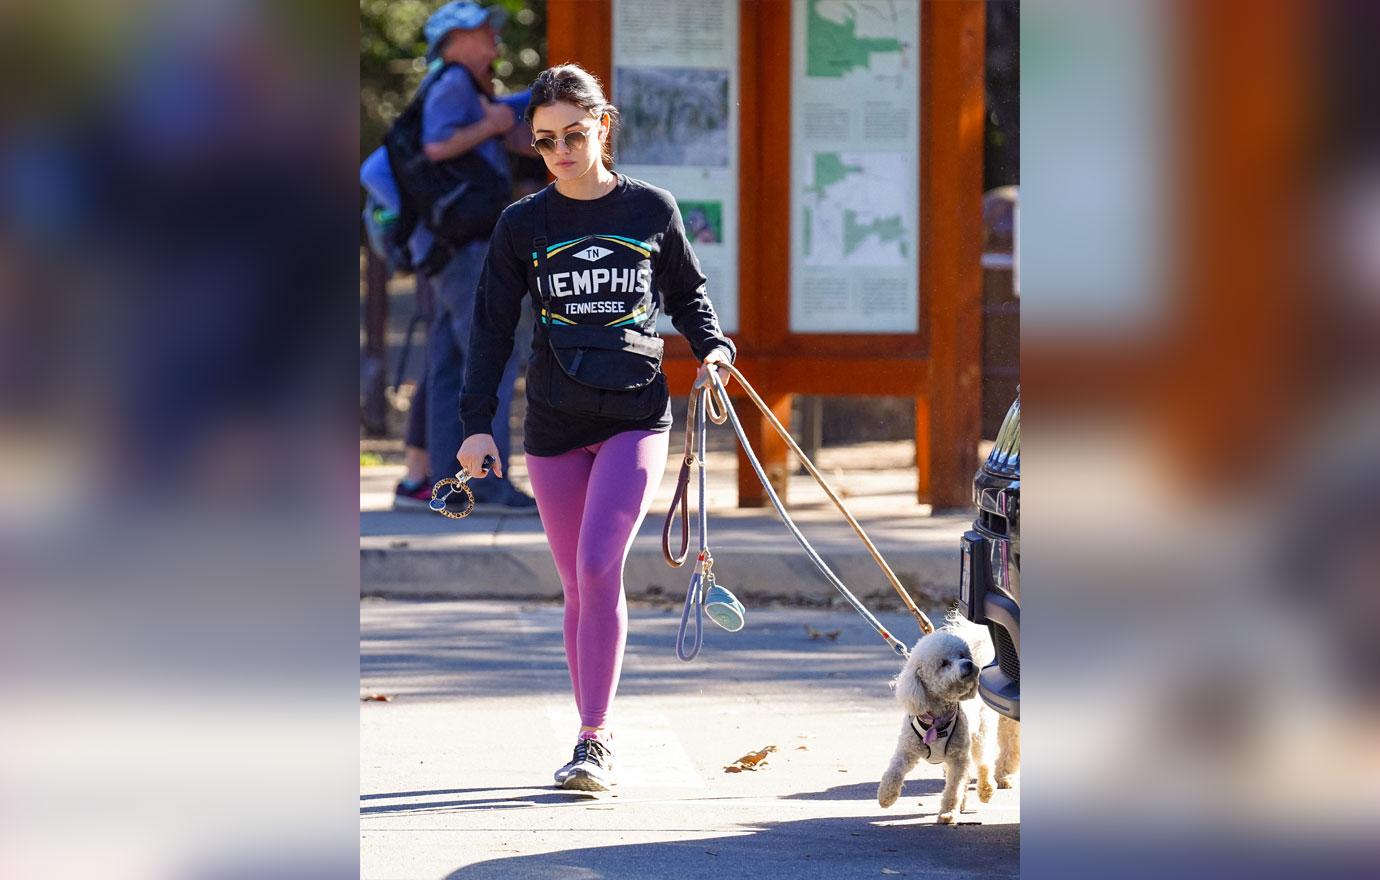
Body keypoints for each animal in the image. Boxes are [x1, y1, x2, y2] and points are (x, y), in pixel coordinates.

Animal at [877, 617, 1021, 822]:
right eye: (944, 663)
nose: (968, 663)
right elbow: (894, 771)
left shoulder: (957, 759)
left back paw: (986, 789)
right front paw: (886, 796)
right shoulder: (906, 750)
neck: (936, 720)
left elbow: (954, 788)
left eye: (962, 655)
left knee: (983, 762)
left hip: (980, 735)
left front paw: (948, 813)